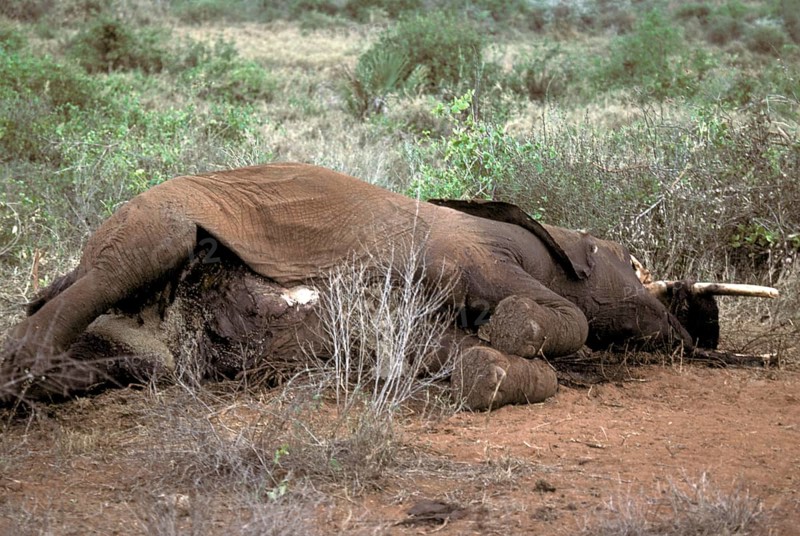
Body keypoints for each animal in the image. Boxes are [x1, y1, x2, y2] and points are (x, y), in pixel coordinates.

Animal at [0, 162, 721, 409]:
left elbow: (454, 357)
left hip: (146, 349)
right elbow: (563, 316)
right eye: (630, 263)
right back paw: (22, 374)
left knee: (120, 360)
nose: (698, 324)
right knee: (112, 274)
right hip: (155, 222)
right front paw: (512, 337)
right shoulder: (469, 252)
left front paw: (492, 368)